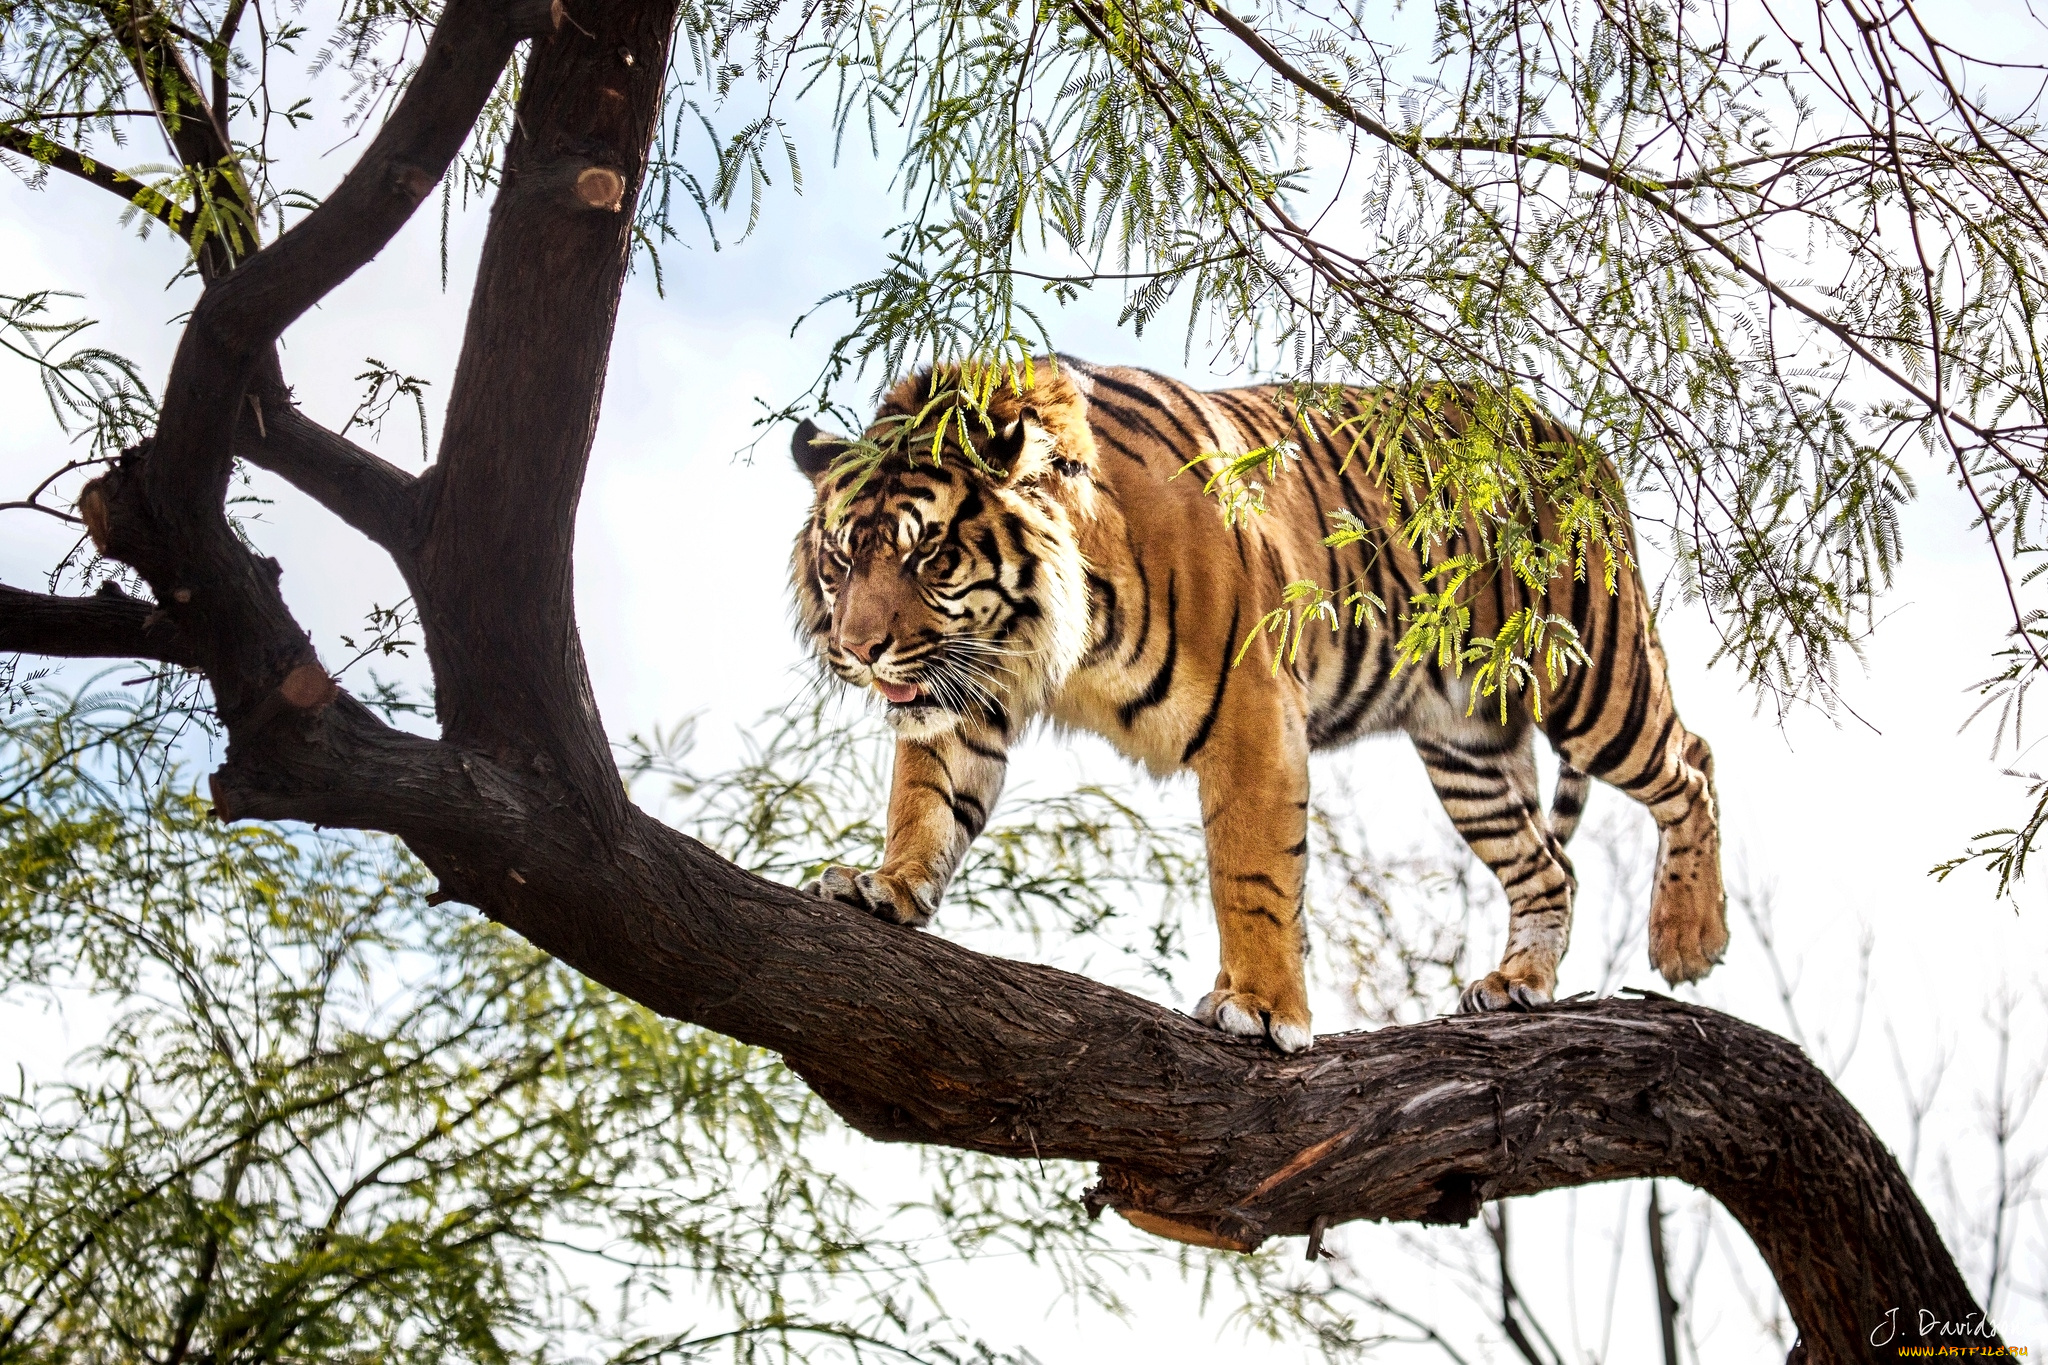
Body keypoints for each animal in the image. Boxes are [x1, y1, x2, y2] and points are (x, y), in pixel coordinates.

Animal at [786, 358, 1728, 1055]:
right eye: (841, 560)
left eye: (929, 556)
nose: (858, 649)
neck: (1048, 635)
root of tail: (1579, 441)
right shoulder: (965, 688)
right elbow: (926, 800)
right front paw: (884, 886)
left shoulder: (1251, 714)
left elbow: (1253, 874)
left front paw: (1266, 1011)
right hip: (1466, 747)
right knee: (1548, 865)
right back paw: (1519, 983)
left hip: (1590, 679)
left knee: (1693, 763)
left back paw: (1688, 936)